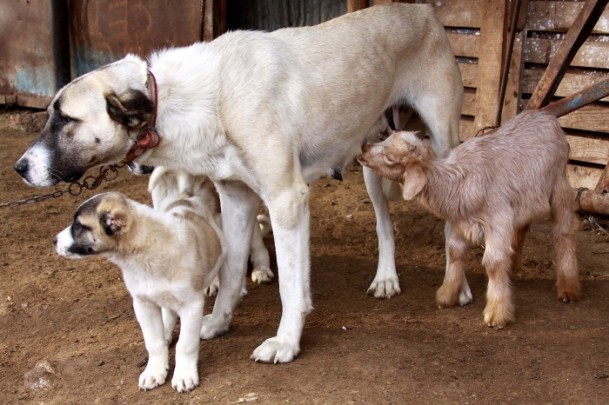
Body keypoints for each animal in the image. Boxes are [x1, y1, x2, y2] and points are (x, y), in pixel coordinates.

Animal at [15, 3, 460, 362]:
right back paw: (386, 277)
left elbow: (290, 288)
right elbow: (230, 270)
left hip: (442, 143)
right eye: (53, 115)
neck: (192, 100)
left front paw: (286, 342)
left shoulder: (285, 199)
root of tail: (423, 10)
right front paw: (216, 322)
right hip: (370, 158)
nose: (20, 167)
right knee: (385, 224)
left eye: (65, 119)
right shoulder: (236, 198)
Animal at [53, 191, 224, 390]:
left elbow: (185, 344)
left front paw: (183, 375)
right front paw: (154, 371)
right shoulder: (143, 304)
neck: (143, 256)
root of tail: (187, 198)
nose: (54, 240)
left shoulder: (191, 305)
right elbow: (154, 343)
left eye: (79, 225)